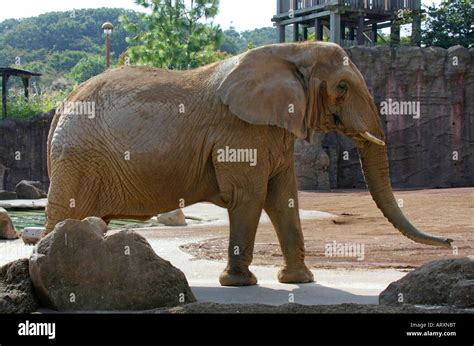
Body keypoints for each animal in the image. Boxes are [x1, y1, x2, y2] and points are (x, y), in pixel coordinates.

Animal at [46, 41, 454, 286]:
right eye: (341, 87)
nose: (450, 241)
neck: (291, 52)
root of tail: (62, 105)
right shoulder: (242, 132)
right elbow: (250, 196)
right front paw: (240, 284)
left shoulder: (274, 133)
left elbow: (283, 199)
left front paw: (299, 281)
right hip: (78, 158)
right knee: (68, 213)